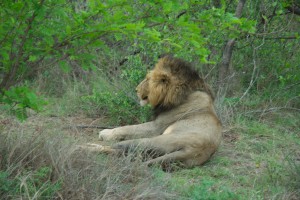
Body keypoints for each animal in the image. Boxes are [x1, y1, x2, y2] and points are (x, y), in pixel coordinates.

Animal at [85, 55, 221, 168]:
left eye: (147, 79)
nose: (136, 89)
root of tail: (195, 150)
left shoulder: (156, 127)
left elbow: (128, 128)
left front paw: (106, 133)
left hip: (151, 141)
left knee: (115, 147)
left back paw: (86, 147)